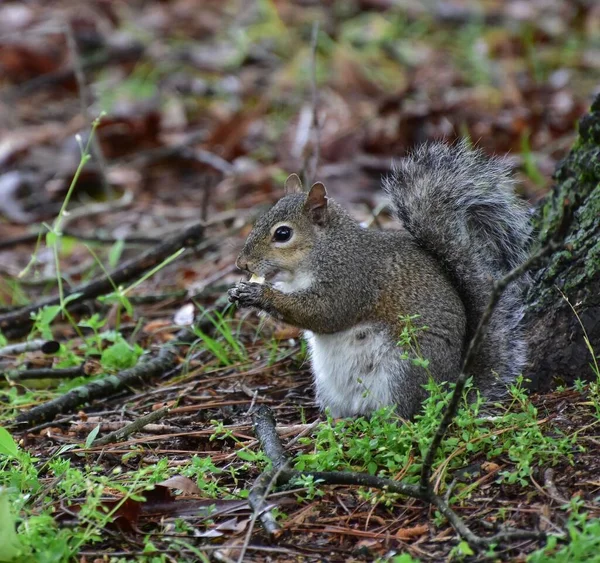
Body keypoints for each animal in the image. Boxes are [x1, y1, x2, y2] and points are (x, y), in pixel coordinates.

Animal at [229, 142, 528, 418]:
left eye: (283, 234)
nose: (241, 263)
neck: (325, 250)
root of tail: (449, 389)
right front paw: (240, 292)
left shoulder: (351, 278)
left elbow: (324, 313)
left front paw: (260, 295)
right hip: (330, 387)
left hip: (402, 371)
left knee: (406, 413)